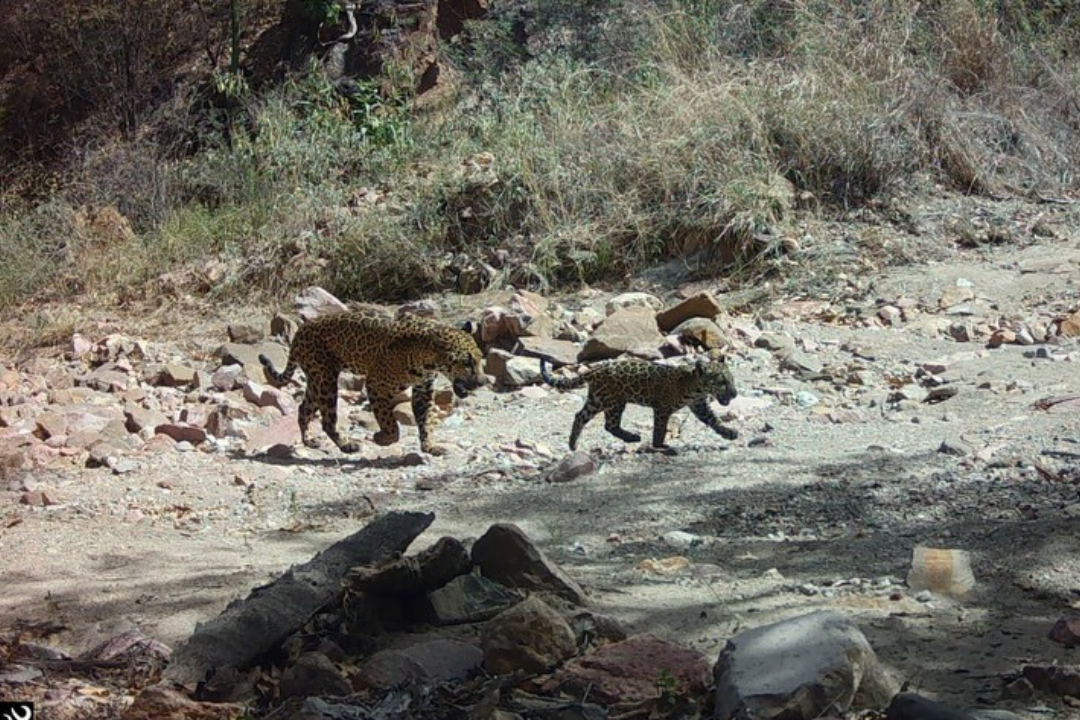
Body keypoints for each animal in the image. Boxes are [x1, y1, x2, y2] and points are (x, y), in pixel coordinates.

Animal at [259, 309, 486, 456]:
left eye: (480, 359)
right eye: (467, 363)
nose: (482, 382)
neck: (428, 358)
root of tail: (300, 331)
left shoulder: (423, 390)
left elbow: (426, 420)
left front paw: (430, 447)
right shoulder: (376, 385)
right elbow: (390, 424)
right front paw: (381, 438)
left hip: (317, 380)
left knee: (303, 408)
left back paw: (309, 440)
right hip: (325, 380)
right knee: (327, 420)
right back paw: (346, 445)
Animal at [540, 351, 738, 453]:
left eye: (731, 379)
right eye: (721, 382)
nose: (735, 394)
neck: (695, 386)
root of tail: (595, 369)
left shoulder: (699, 405)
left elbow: (713, 419)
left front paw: (728, 433)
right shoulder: (662, 408)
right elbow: (660, 429)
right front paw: (660, 446)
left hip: (598, 400)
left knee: (581, 416)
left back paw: (573, 444)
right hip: (613, 401)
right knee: (609, 425)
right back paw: (632, 437)